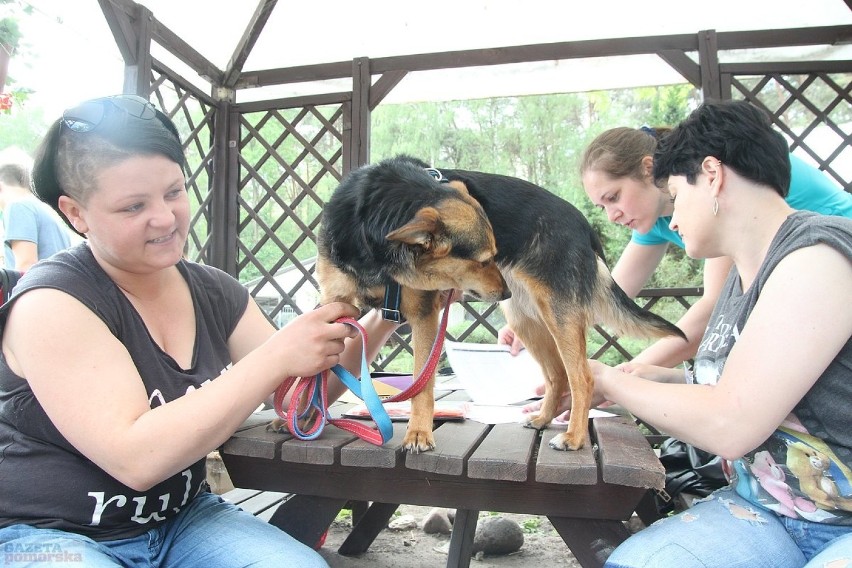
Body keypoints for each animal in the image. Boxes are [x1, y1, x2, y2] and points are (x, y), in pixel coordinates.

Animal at [312, 154, 684, 452]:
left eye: (494, 254)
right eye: (481, 260)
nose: (503, 291)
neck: (372, 228)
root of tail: (582, 224)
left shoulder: (424, 316)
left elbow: (422, 383)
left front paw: (418, 433)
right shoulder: (334, 304)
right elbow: (318, 369)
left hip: (560, 316)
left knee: (582, 378)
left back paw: (574, 437)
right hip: (526, 320)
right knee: (557, 376)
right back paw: (543, 419)